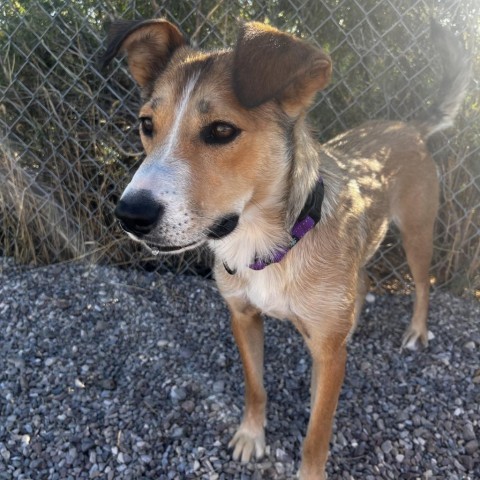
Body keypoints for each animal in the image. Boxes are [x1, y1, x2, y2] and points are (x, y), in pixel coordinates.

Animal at [102, 16, 468, 478]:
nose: (130, 215)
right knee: (364, 280)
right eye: (147, 124)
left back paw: (417, 331)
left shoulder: (329, 358)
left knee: (423, 284)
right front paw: (251, 435)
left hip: (417, 232)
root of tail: (408, 127)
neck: (267, 244)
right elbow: (255, 386)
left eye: (221, 130)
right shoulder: (243, 318)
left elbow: (316, 435)